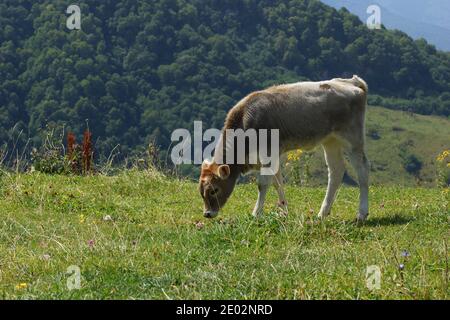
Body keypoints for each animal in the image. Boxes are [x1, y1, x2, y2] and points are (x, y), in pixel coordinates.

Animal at [199, 76, 368, 222]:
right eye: (201, 191)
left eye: (214, 190)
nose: (207, 213)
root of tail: (352, 82)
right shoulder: (270, 157)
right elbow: (277, 183)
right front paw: (284, 211)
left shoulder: (267, 153)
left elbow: (263, 184)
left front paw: (256, 214)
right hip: (330, 140)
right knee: (336, 170)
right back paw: (323, 213)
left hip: (353, 137)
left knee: (362, 168)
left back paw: (362, 213)